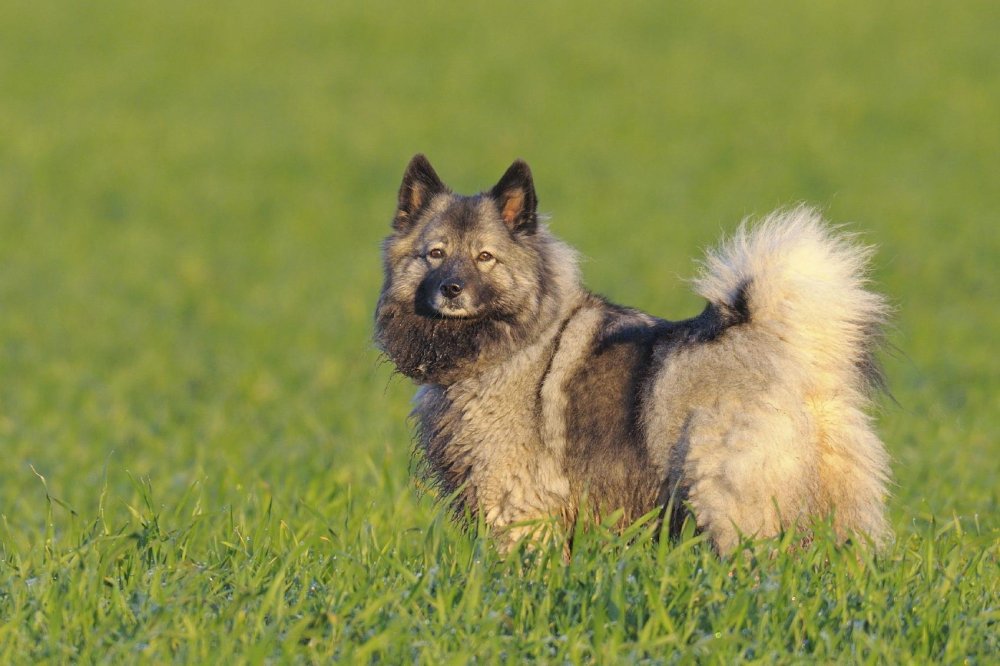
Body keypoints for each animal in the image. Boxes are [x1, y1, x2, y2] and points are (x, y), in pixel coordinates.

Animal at [374, 154, 892, 548]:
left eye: (485, 257)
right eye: (435, 254)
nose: (451, 289)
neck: (516, 341)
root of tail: (788, 349)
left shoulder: (516, 503)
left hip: (729, 500)